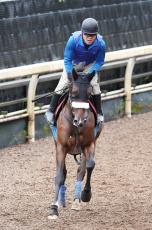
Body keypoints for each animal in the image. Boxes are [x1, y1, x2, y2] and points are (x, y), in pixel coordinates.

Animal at [48, 68, 103, 219]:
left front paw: (86, 194)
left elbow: (89, 166)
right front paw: (54, 207)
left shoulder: (89, 144)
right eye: (73, 93)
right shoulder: (60, 146)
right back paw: (61, 200)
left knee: (81, 170)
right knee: (64, 172)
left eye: (89, 94)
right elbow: (60, 175)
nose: (80, 120)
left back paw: (76, 200)